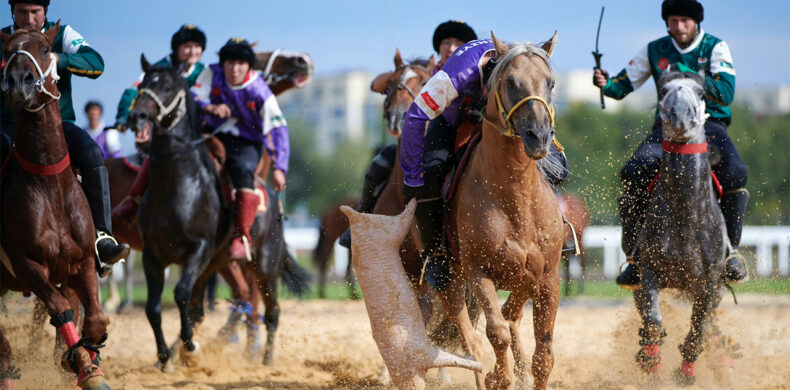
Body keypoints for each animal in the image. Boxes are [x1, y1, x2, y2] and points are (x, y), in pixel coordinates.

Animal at [632, 69, 732, 384]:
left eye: (700, 92)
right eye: (664, 90)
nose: (680, 116)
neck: (686, 218)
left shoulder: (708, 285)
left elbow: (697, 330)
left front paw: (685, 374)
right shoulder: (649, 271)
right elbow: (653, 321)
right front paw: (650, 360)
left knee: (710, 324)